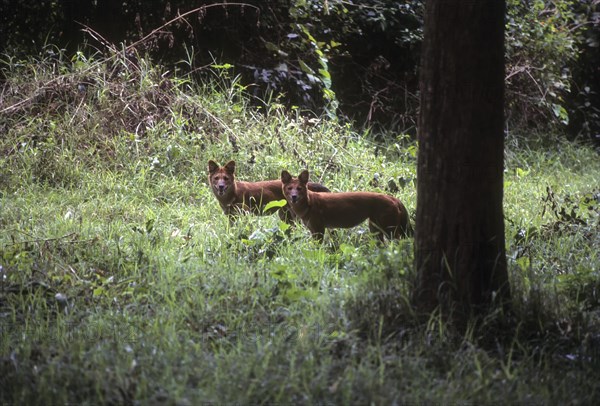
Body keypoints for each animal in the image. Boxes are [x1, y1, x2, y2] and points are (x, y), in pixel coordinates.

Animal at [282, 169, 412, 241]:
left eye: (299, 188)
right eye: (290, 188)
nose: (294, 197)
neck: (307, 205)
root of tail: (393, 198)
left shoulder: (319, 229)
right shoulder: (313, 230)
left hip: (390, 230)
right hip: (375, 230)